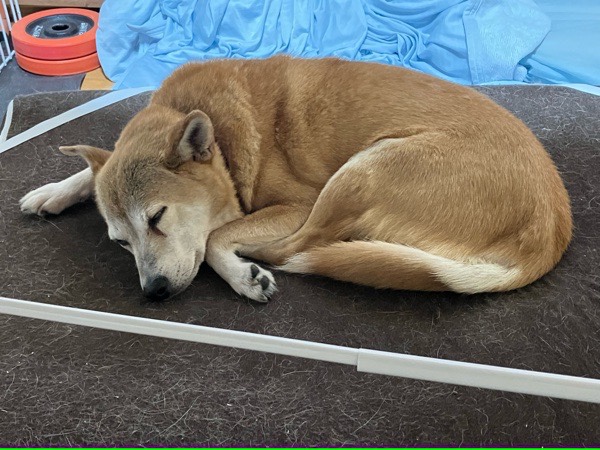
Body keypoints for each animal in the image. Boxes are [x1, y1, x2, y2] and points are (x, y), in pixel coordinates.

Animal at [19, 56, 572, 302]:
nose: (152, 292)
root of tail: (549, 230)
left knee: (300, 247)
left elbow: (217, 235)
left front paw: (242, 276)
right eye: (119, 242)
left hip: (362, 170)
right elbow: (93, 168)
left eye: (157, 217)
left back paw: (259, 263)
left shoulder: (295, 204)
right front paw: (54, 191)